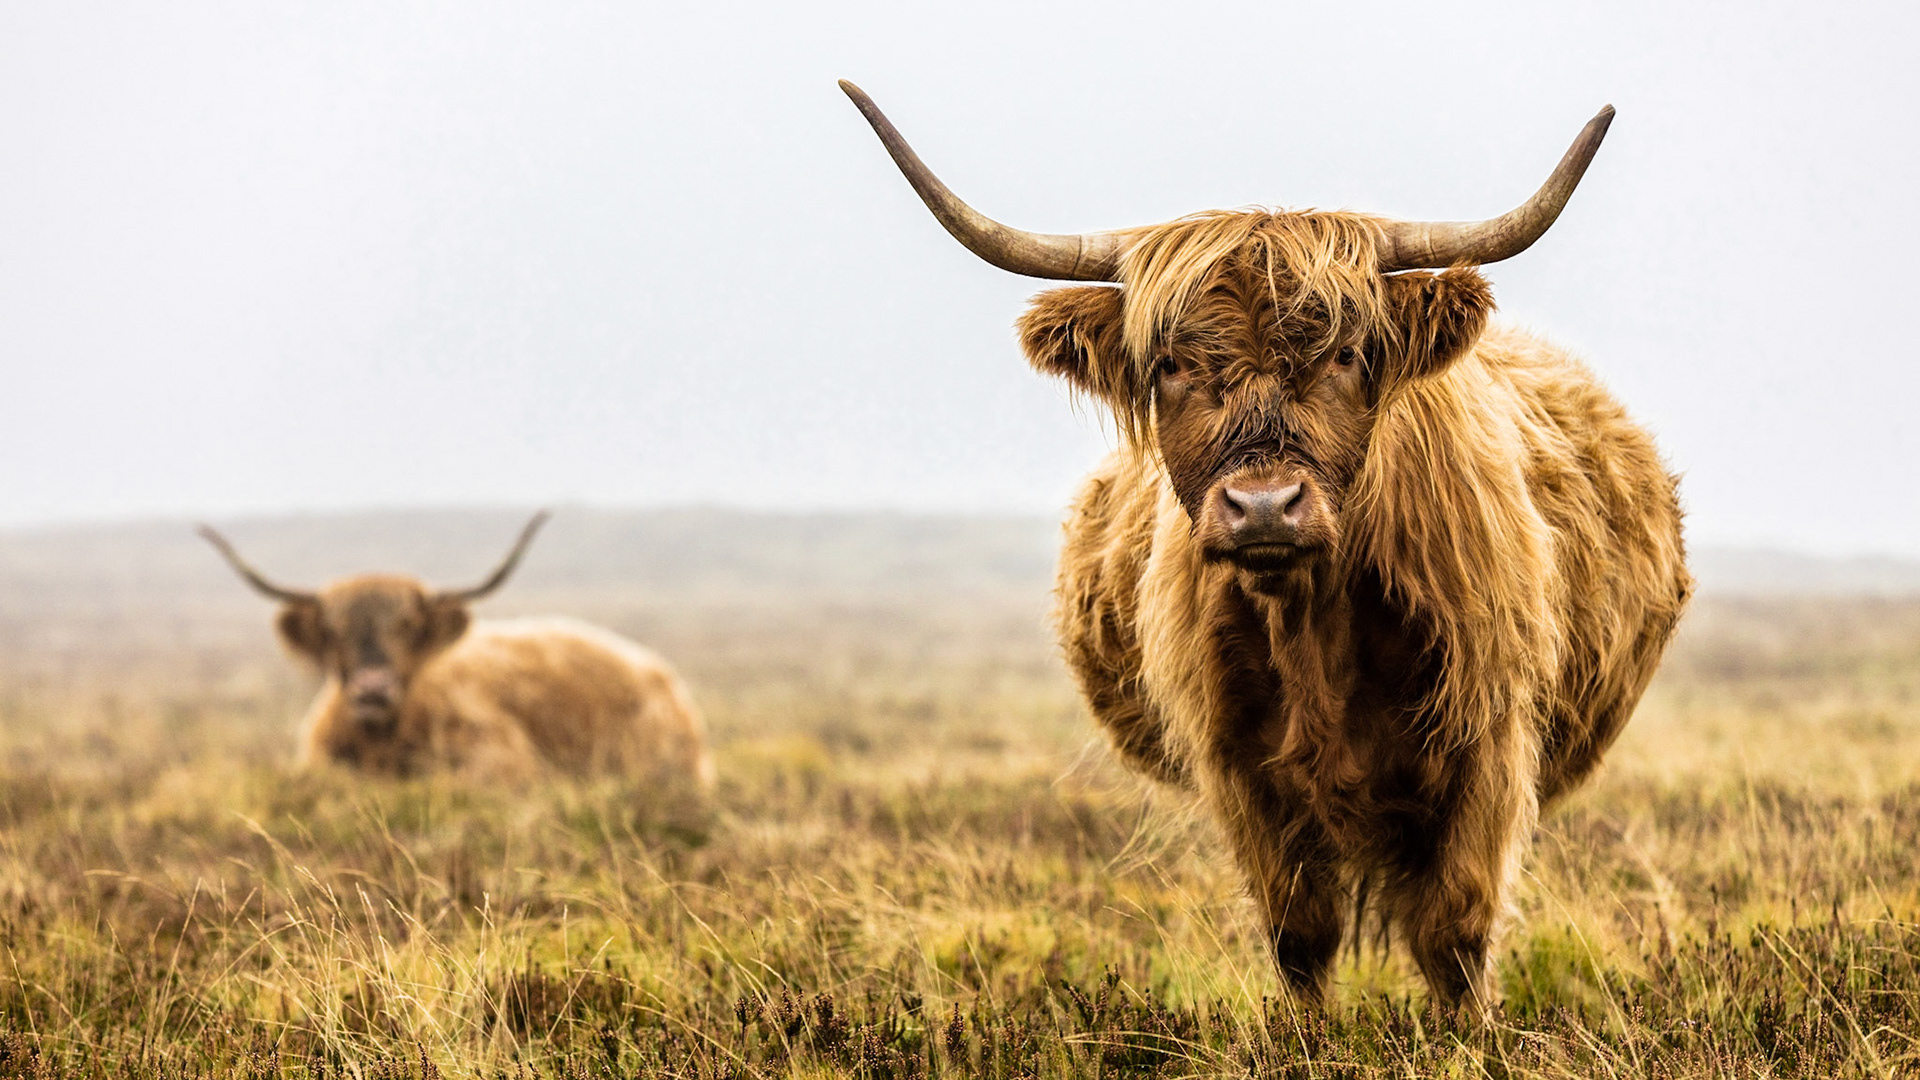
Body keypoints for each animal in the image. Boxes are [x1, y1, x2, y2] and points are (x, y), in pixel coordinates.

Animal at [840, 82, 1690, 1013]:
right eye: (1171, 365)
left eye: (1348, 354)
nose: (1263, 507)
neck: (1315, 625)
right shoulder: (1240, 765)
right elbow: (1299, 935)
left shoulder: (1489, 742)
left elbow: (1456, 932)